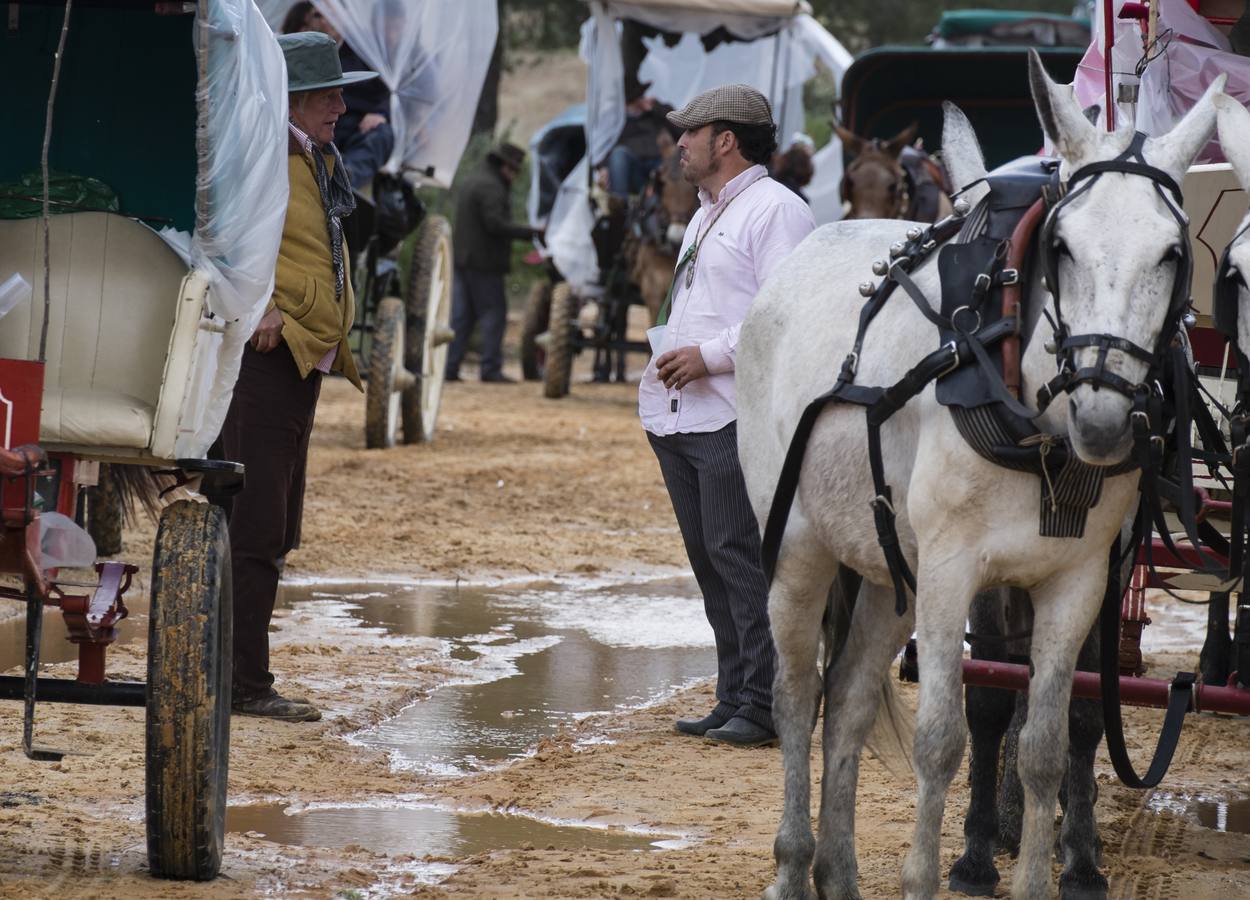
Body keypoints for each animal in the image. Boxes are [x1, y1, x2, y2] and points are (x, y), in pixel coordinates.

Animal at [735, 56, 1225, 900]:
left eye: (1172, 252)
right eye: (1062, 245)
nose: (1103, 420)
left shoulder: (1077, 583)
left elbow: (1046, 742)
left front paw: (1038, 875)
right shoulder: (953, 571)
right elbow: (942, 738)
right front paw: (933, 873)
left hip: (888, 569)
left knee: (850, 701)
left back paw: (838, 871)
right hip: (802, 546)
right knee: (799, 698)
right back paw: (794, 866)